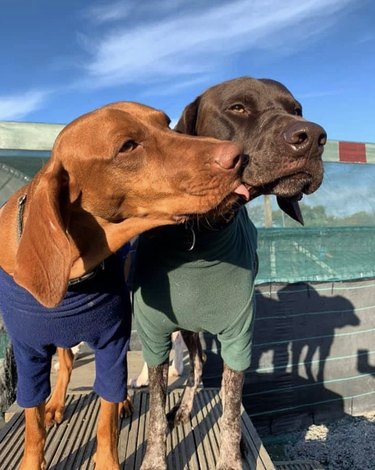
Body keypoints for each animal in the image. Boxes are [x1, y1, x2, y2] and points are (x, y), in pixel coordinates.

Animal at [0, 103, 245, 470]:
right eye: (127, 146)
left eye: (167, 123)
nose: (240, 155)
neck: (76, 273)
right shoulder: (28, 351)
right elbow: (33, 422)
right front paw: (33, 453)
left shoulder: (112, 340)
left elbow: (107, 417)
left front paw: (109, 457)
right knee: (67, 361)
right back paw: (57, 402)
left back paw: (125, 402)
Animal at [134, 77, 326, 470]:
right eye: (238, 108)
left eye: (296, 109)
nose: (314, 136)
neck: (199, 238)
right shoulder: (155, 333)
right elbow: (157, 414)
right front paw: (154, 460)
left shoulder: (239, 332)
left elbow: (233, 410)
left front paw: (230, 457)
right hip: (186, 327)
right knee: (196, 365)